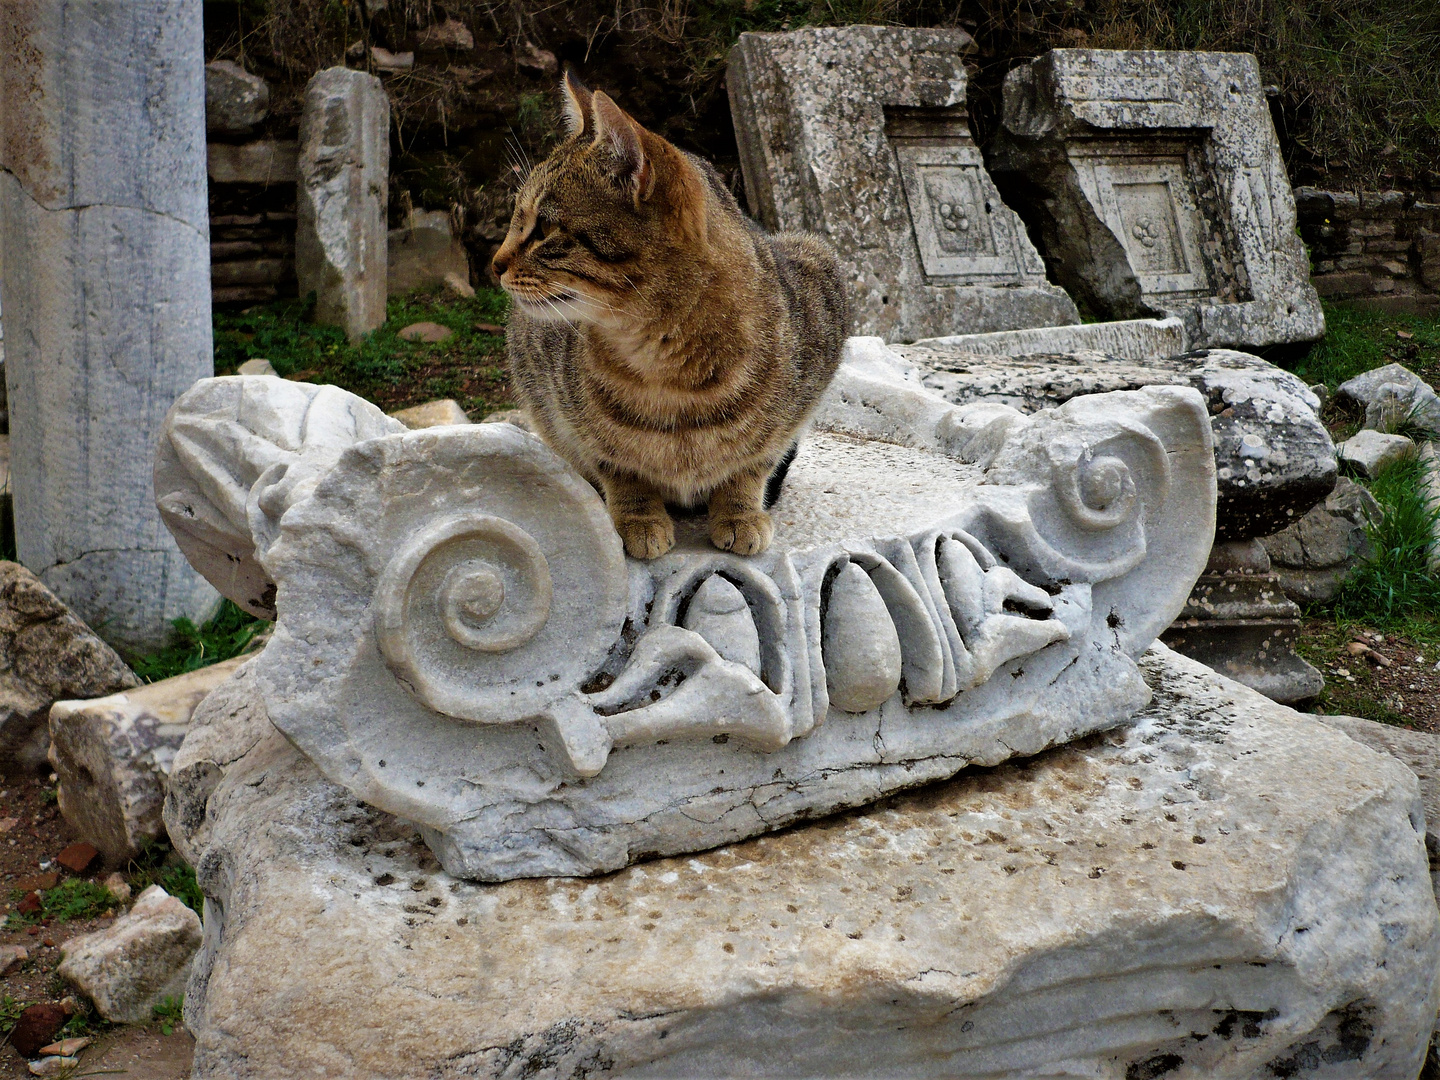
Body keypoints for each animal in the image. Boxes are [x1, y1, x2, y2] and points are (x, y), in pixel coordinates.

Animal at [495, 69, 846, 558]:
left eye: (544, 227)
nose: (493, 264)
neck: (673, 371)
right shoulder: (564, 403)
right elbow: (617, 464)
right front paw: (639, 516)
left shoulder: (822, 293)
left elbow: (755, 460)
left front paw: (739, 511)